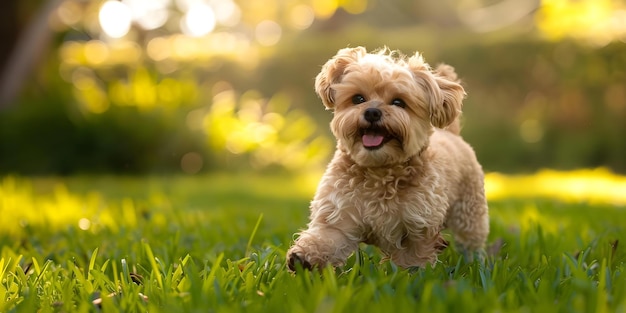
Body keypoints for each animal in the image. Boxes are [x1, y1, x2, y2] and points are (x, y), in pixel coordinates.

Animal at [284, 47, 488, 270]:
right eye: (358, 99)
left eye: (399, 102)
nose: (372, 112)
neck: (378, 171)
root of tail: (452, 133)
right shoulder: (339, 213)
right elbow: (328, 237)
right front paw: (304, 257)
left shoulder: (417, 228)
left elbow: (411, 260)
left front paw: (408, 273)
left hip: (469, 213)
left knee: (471, 241)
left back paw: (475, 262)